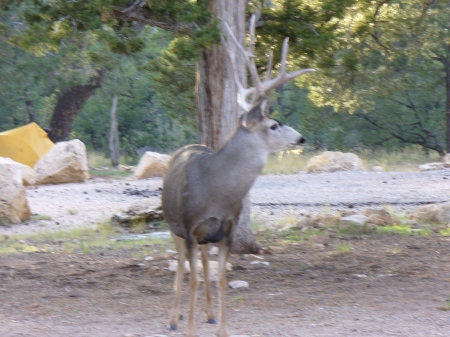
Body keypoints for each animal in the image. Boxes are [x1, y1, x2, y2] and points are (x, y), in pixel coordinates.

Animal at [161, 14, 312, 336]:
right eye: (273, 125)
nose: (301, 138)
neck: (216, 190)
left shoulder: (227, 229)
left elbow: (219, 279)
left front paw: (223, 329)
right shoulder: (190, 226)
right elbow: (193, 278)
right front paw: (189, 328)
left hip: (206, 236)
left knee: (204, 264)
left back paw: (208, 314)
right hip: (173, 225)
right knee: (181, 265)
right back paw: (173, 319)